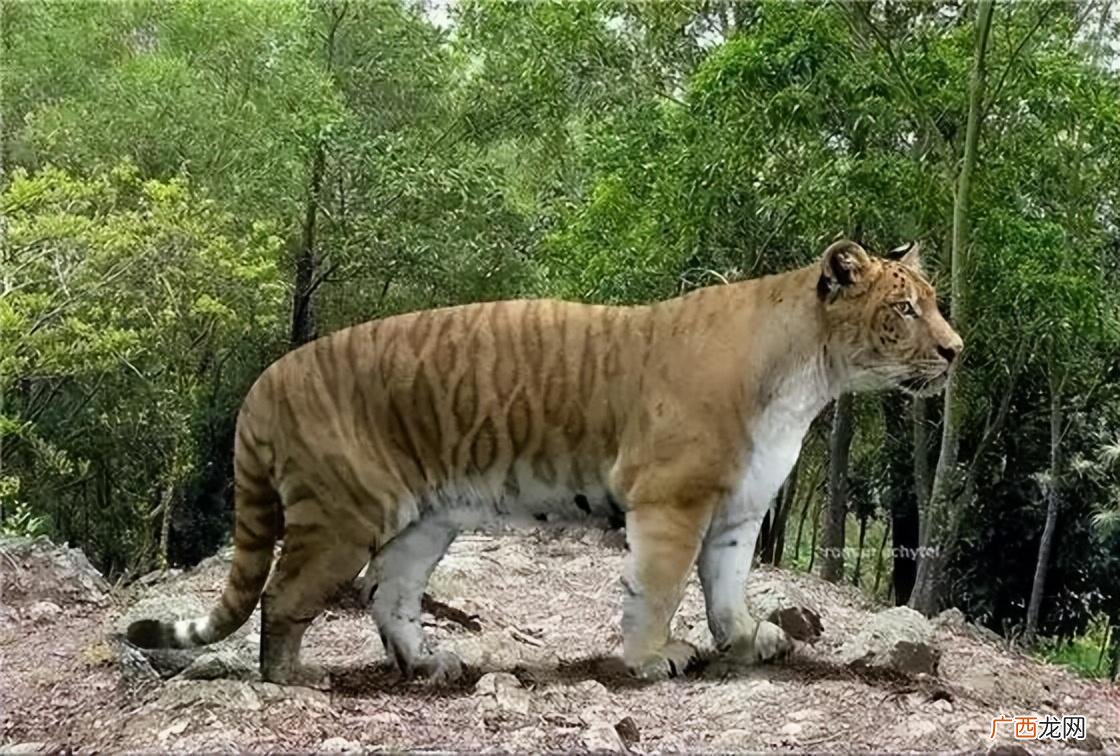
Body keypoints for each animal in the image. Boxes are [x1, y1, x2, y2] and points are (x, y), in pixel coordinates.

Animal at [127, 239, 963, 686]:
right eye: (905, 309)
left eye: (933, 300)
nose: (957, 351)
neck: (809, 378)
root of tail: (264, 380)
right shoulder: (671, 499)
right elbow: (658, 588)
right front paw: (652, 659)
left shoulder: (737, 510)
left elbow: (726, 590)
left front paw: (749, 641)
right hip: (341, 513)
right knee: (284, 595)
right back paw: (294, 678)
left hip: (423, 524)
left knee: (385, 595)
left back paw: (431, 663)